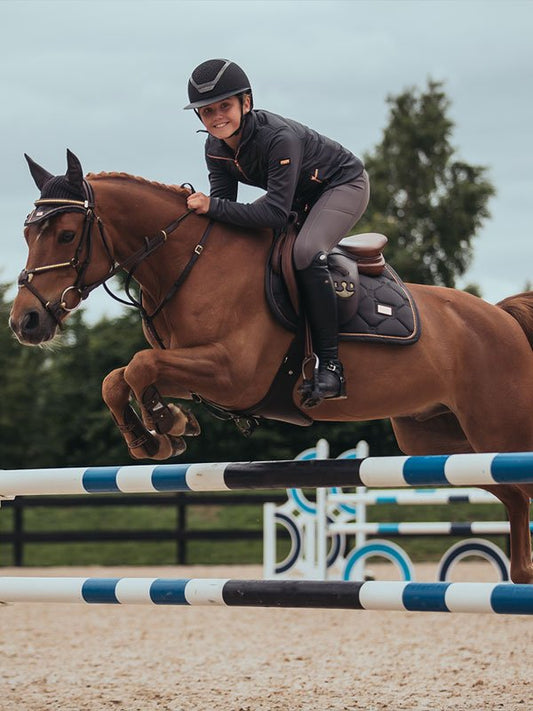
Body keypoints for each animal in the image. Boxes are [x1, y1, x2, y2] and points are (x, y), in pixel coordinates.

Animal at [9, 150, 533, 583]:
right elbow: (117, 379)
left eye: (67, 235)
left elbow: (139, 367)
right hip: (441, 443)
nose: (24, 322)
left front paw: (164, 424)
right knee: (513, 496)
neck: (190, 262)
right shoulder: (196, 370)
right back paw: (521, 576)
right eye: (27, 233)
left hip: (496, 432)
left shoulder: (233, 373)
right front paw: (160, 431)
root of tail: (502, 318)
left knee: (520, 489)